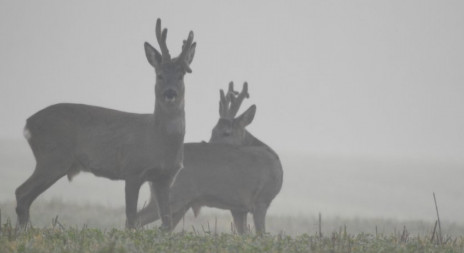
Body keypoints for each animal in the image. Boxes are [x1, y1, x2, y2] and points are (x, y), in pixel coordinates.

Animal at [14, 18, 196, 230]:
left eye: (181, 75)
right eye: (159, 75)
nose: (170, 93)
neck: (158, 140)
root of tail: (28, 124)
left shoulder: (165, 178)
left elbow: (167, 222)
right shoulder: (132, 170)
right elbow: (131, 219)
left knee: (24, 196)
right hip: (52, 157)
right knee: (21, 193)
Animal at [136, 82, 284, 234]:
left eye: (226, 133)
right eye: (213, 131)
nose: (208, 143)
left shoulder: (238, 207)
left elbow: (243, 233)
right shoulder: (262, 200)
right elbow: (260, 234)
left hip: (179, 202)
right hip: (175, 195)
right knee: (138, 218)